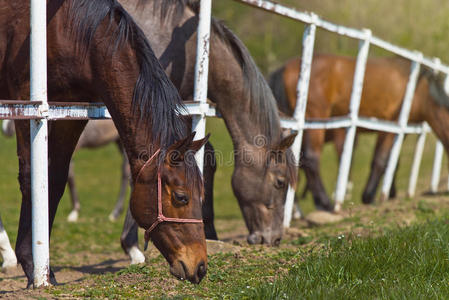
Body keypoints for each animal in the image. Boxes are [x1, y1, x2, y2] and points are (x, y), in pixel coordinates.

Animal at [2, 0, 208, 286]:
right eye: (181, 197)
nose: (200, 267)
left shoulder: (70, 111)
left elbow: (55, 181)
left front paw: (45, 270)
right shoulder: (26, 102)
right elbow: (32, 178)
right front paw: (33, 266)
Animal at [119, 0, 300, 247]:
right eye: (280, 182)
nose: (274, 239)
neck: (189, 48)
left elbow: (206, 159)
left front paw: (210, 232)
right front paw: (131, 244)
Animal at [270, 54, 448, 207]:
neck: (418, 89)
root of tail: (284, 68)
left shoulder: (399, 133)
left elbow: (393, 162)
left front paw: (390, 193)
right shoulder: (389, 127)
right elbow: (381, 159)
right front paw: (369, 196)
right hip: (315, 120)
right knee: (311, 159)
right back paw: (326, 203)